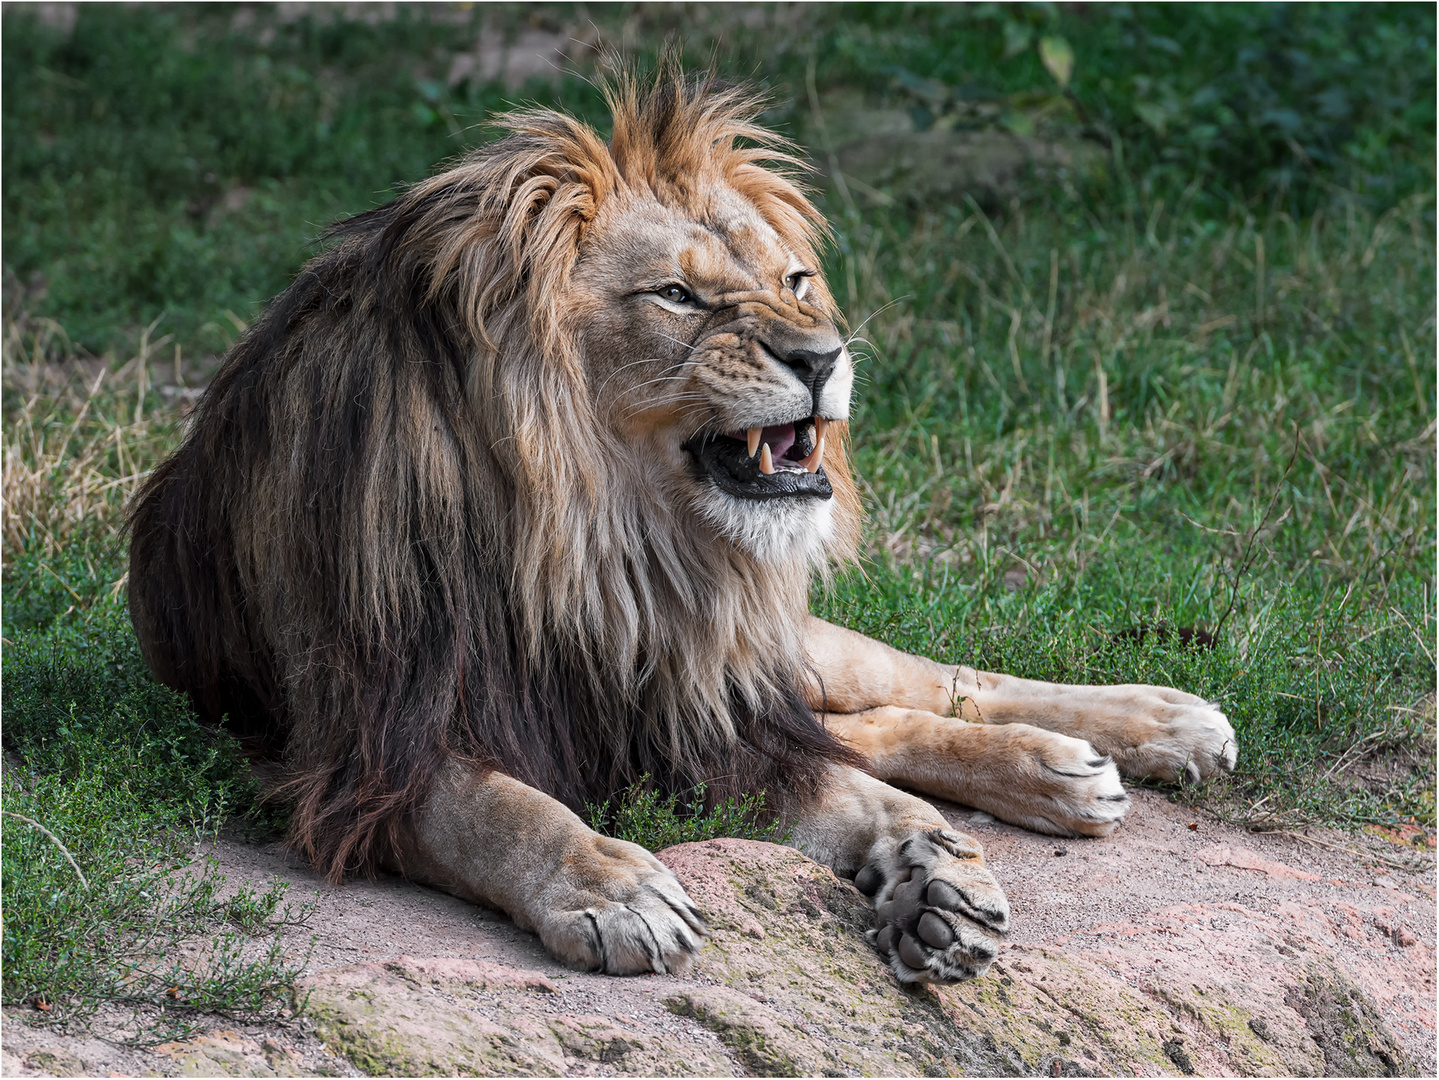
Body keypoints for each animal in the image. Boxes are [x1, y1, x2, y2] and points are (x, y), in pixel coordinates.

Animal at [123, 69, 1237, 989]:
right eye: (679, 295)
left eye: (793, 283)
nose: (824, 357)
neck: (606, 541)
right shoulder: (365, 754)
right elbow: (500, 809)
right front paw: (611, 889)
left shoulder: (690, 718)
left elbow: (853, 787)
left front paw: (933, 869)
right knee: (871, 721)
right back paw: (1064, 769)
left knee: (911, 685)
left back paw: (1142, 730)